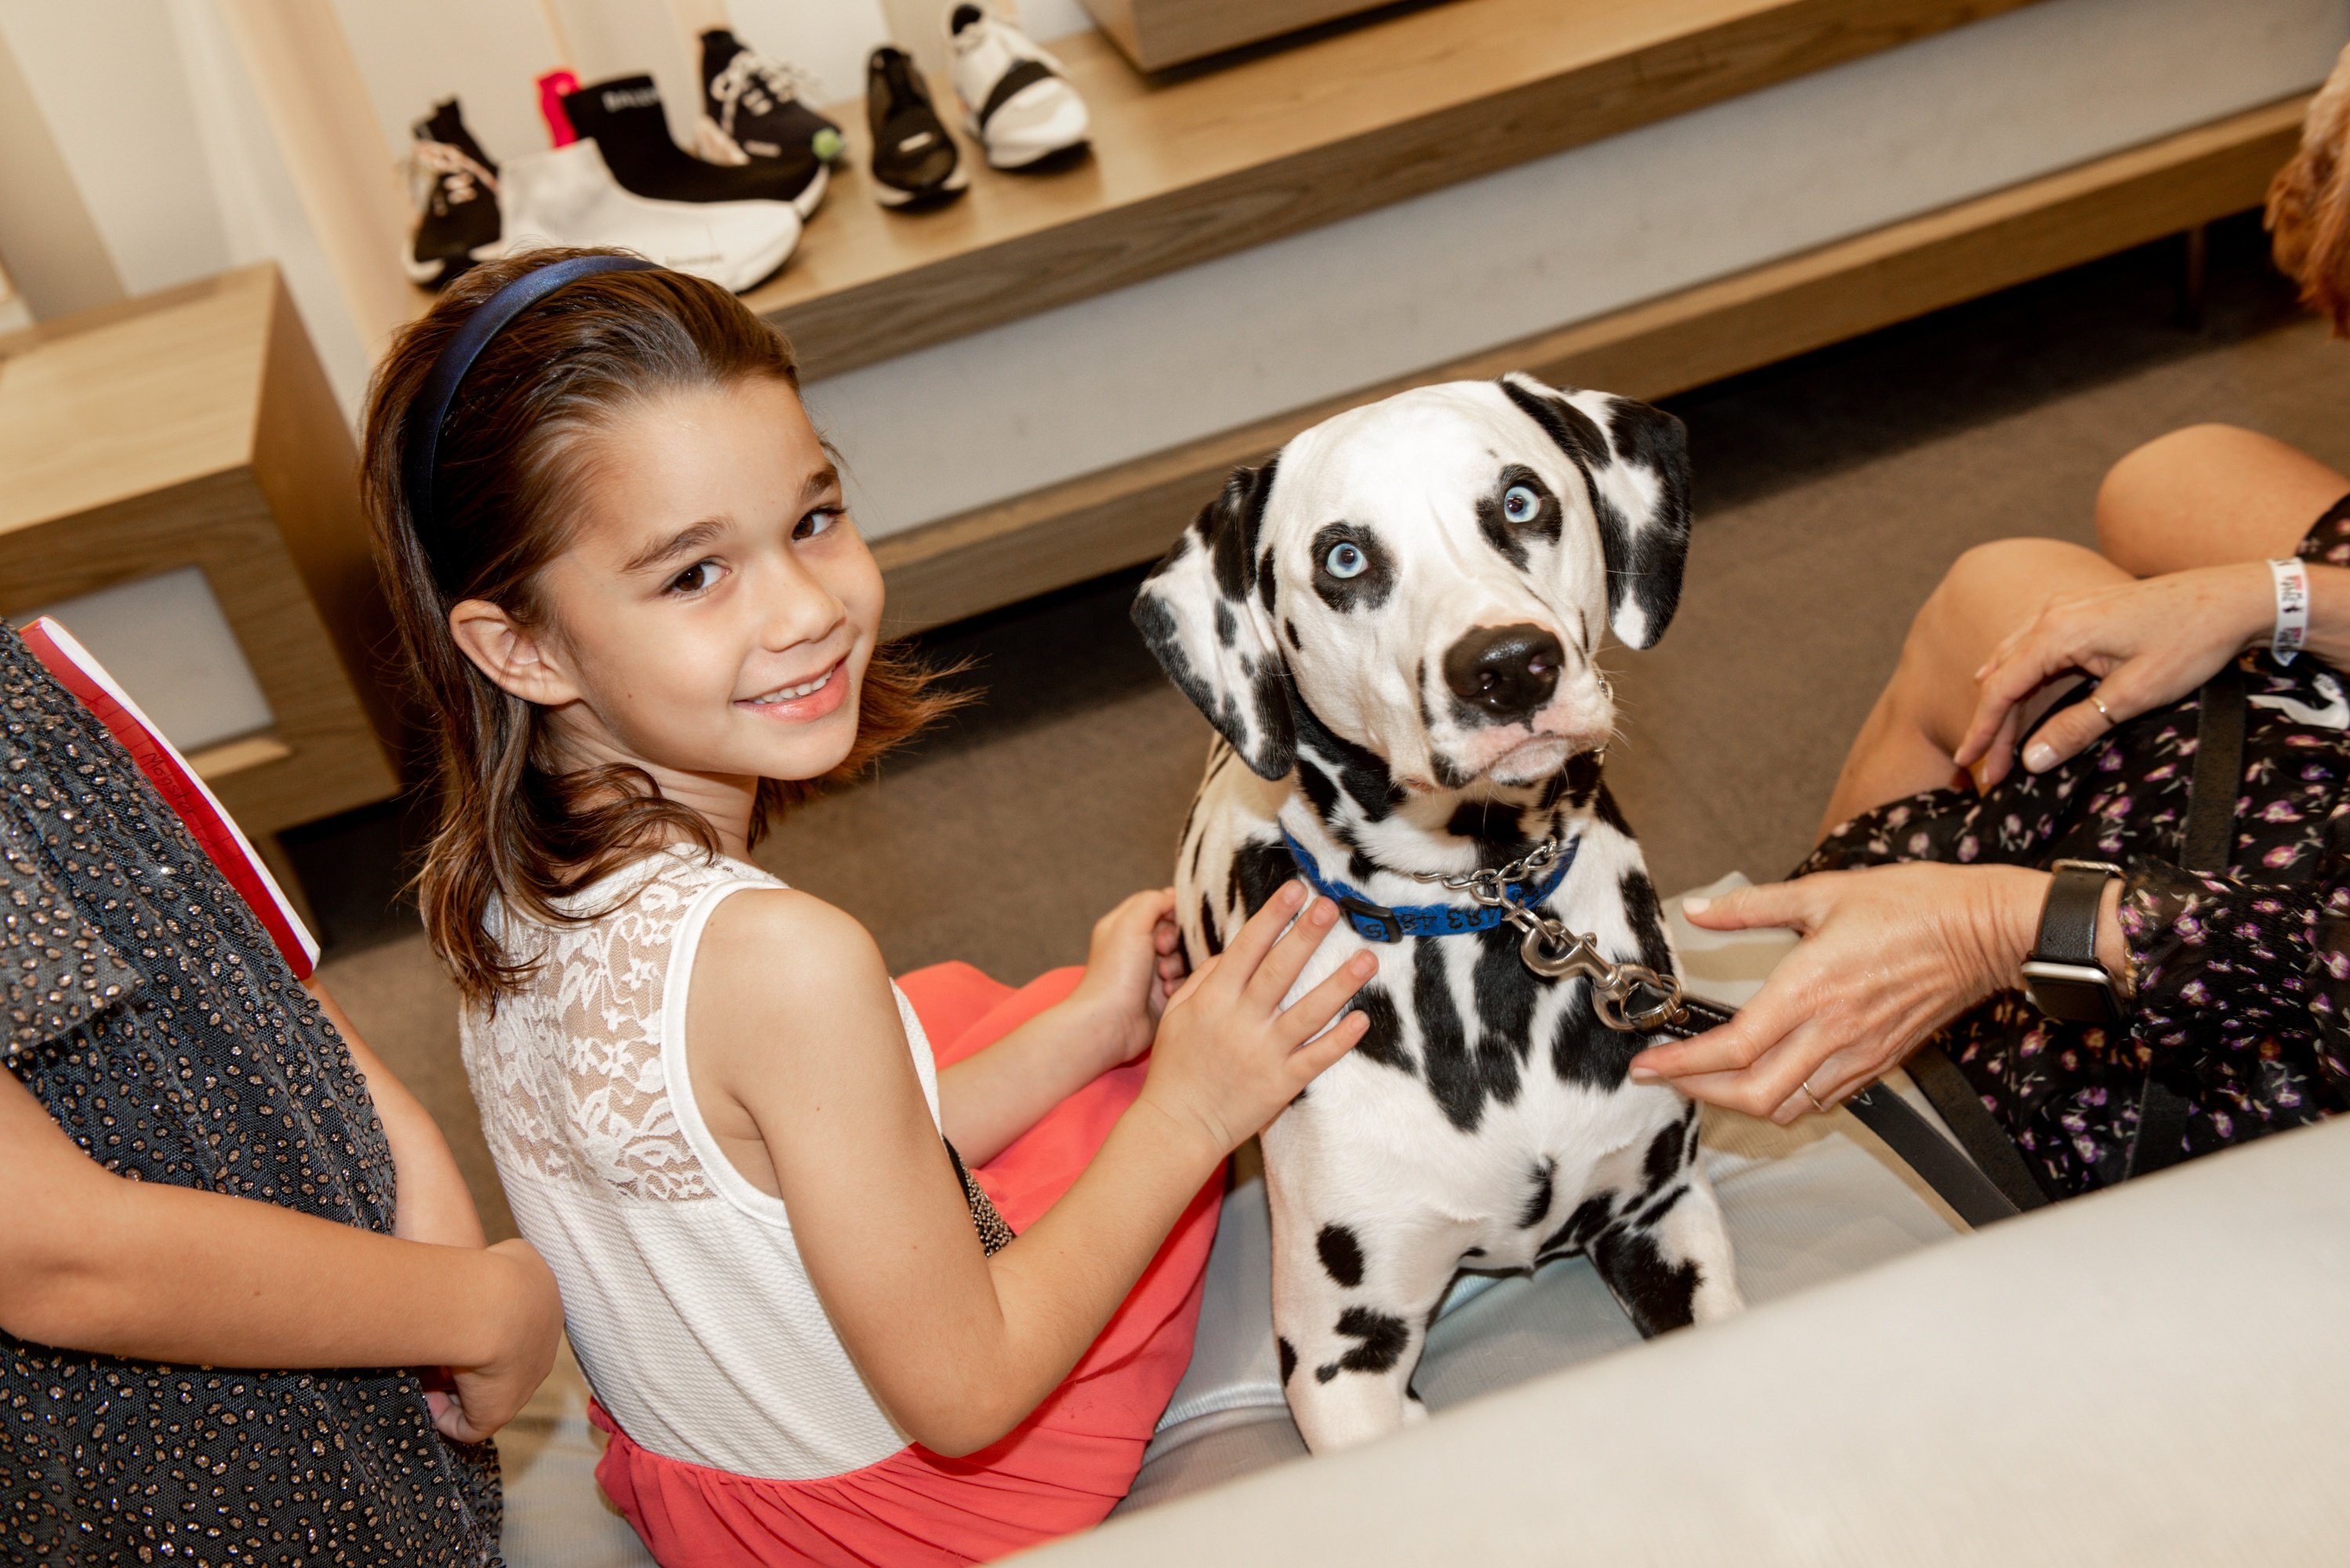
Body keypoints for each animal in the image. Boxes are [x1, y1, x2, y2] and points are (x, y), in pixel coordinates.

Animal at [1137, 374, 1748, 1458]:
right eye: (1343, 558)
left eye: (1520, 501)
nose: (1507, 665)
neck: (1478, 935)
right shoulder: (1342, 1362)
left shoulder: (1666, 1217)